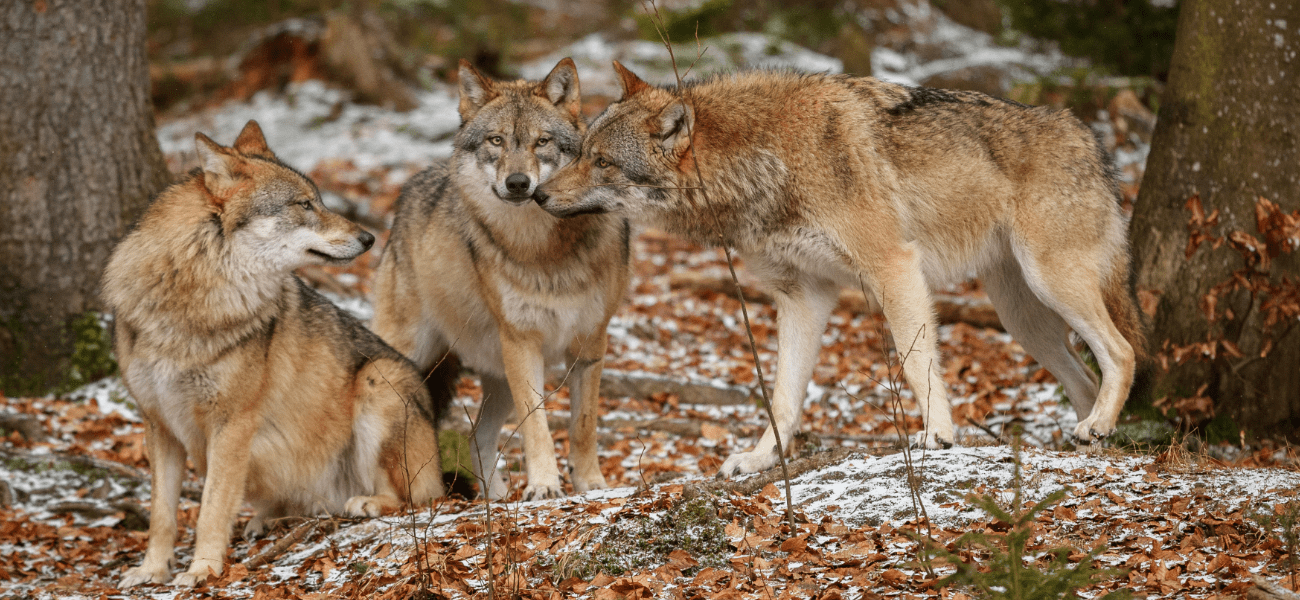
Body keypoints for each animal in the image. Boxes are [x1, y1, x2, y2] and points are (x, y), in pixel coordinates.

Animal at [104, 121, 445, 588]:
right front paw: (151, 570)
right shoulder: (159, 425)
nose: (370, 237)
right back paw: (266, 519)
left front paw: (202, 570)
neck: (193, 298)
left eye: (319, 200)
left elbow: (211, 511)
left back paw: (367, 503)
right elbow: (162, 516)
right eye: (304, 204)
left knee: (416, 497)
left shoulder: (232, 424)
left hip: (378, 380)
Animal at [370, 59, 630, 501]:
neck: (542, 250)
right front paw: (544, 485)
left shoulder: (590, 343)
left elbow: (583, 426)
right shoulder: (522, 343)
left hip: (497, 376)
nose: (518, 183)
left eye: (542, 142)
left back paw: (494, 498)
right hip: (408, 359)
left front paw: (591, 483)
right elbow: (537, 426)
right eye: (496, 140)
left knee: (477, 436)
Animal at [535, 63, 1146, 477]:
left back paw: (1097, 426)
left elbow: (916, 363)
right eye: (579, 150)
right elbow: (783, 397)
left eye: (601, 161)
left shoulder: (893, 268)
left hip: (1050, 284)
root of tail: (1090, 138)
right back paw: (1088, 441)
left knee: (1123, 353)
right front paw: (760, 460)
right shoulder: (802, 296)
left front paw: (938, 434)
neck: (768, 159)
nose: (537, 194)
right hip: (1023, 318)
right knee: (1086, 377)